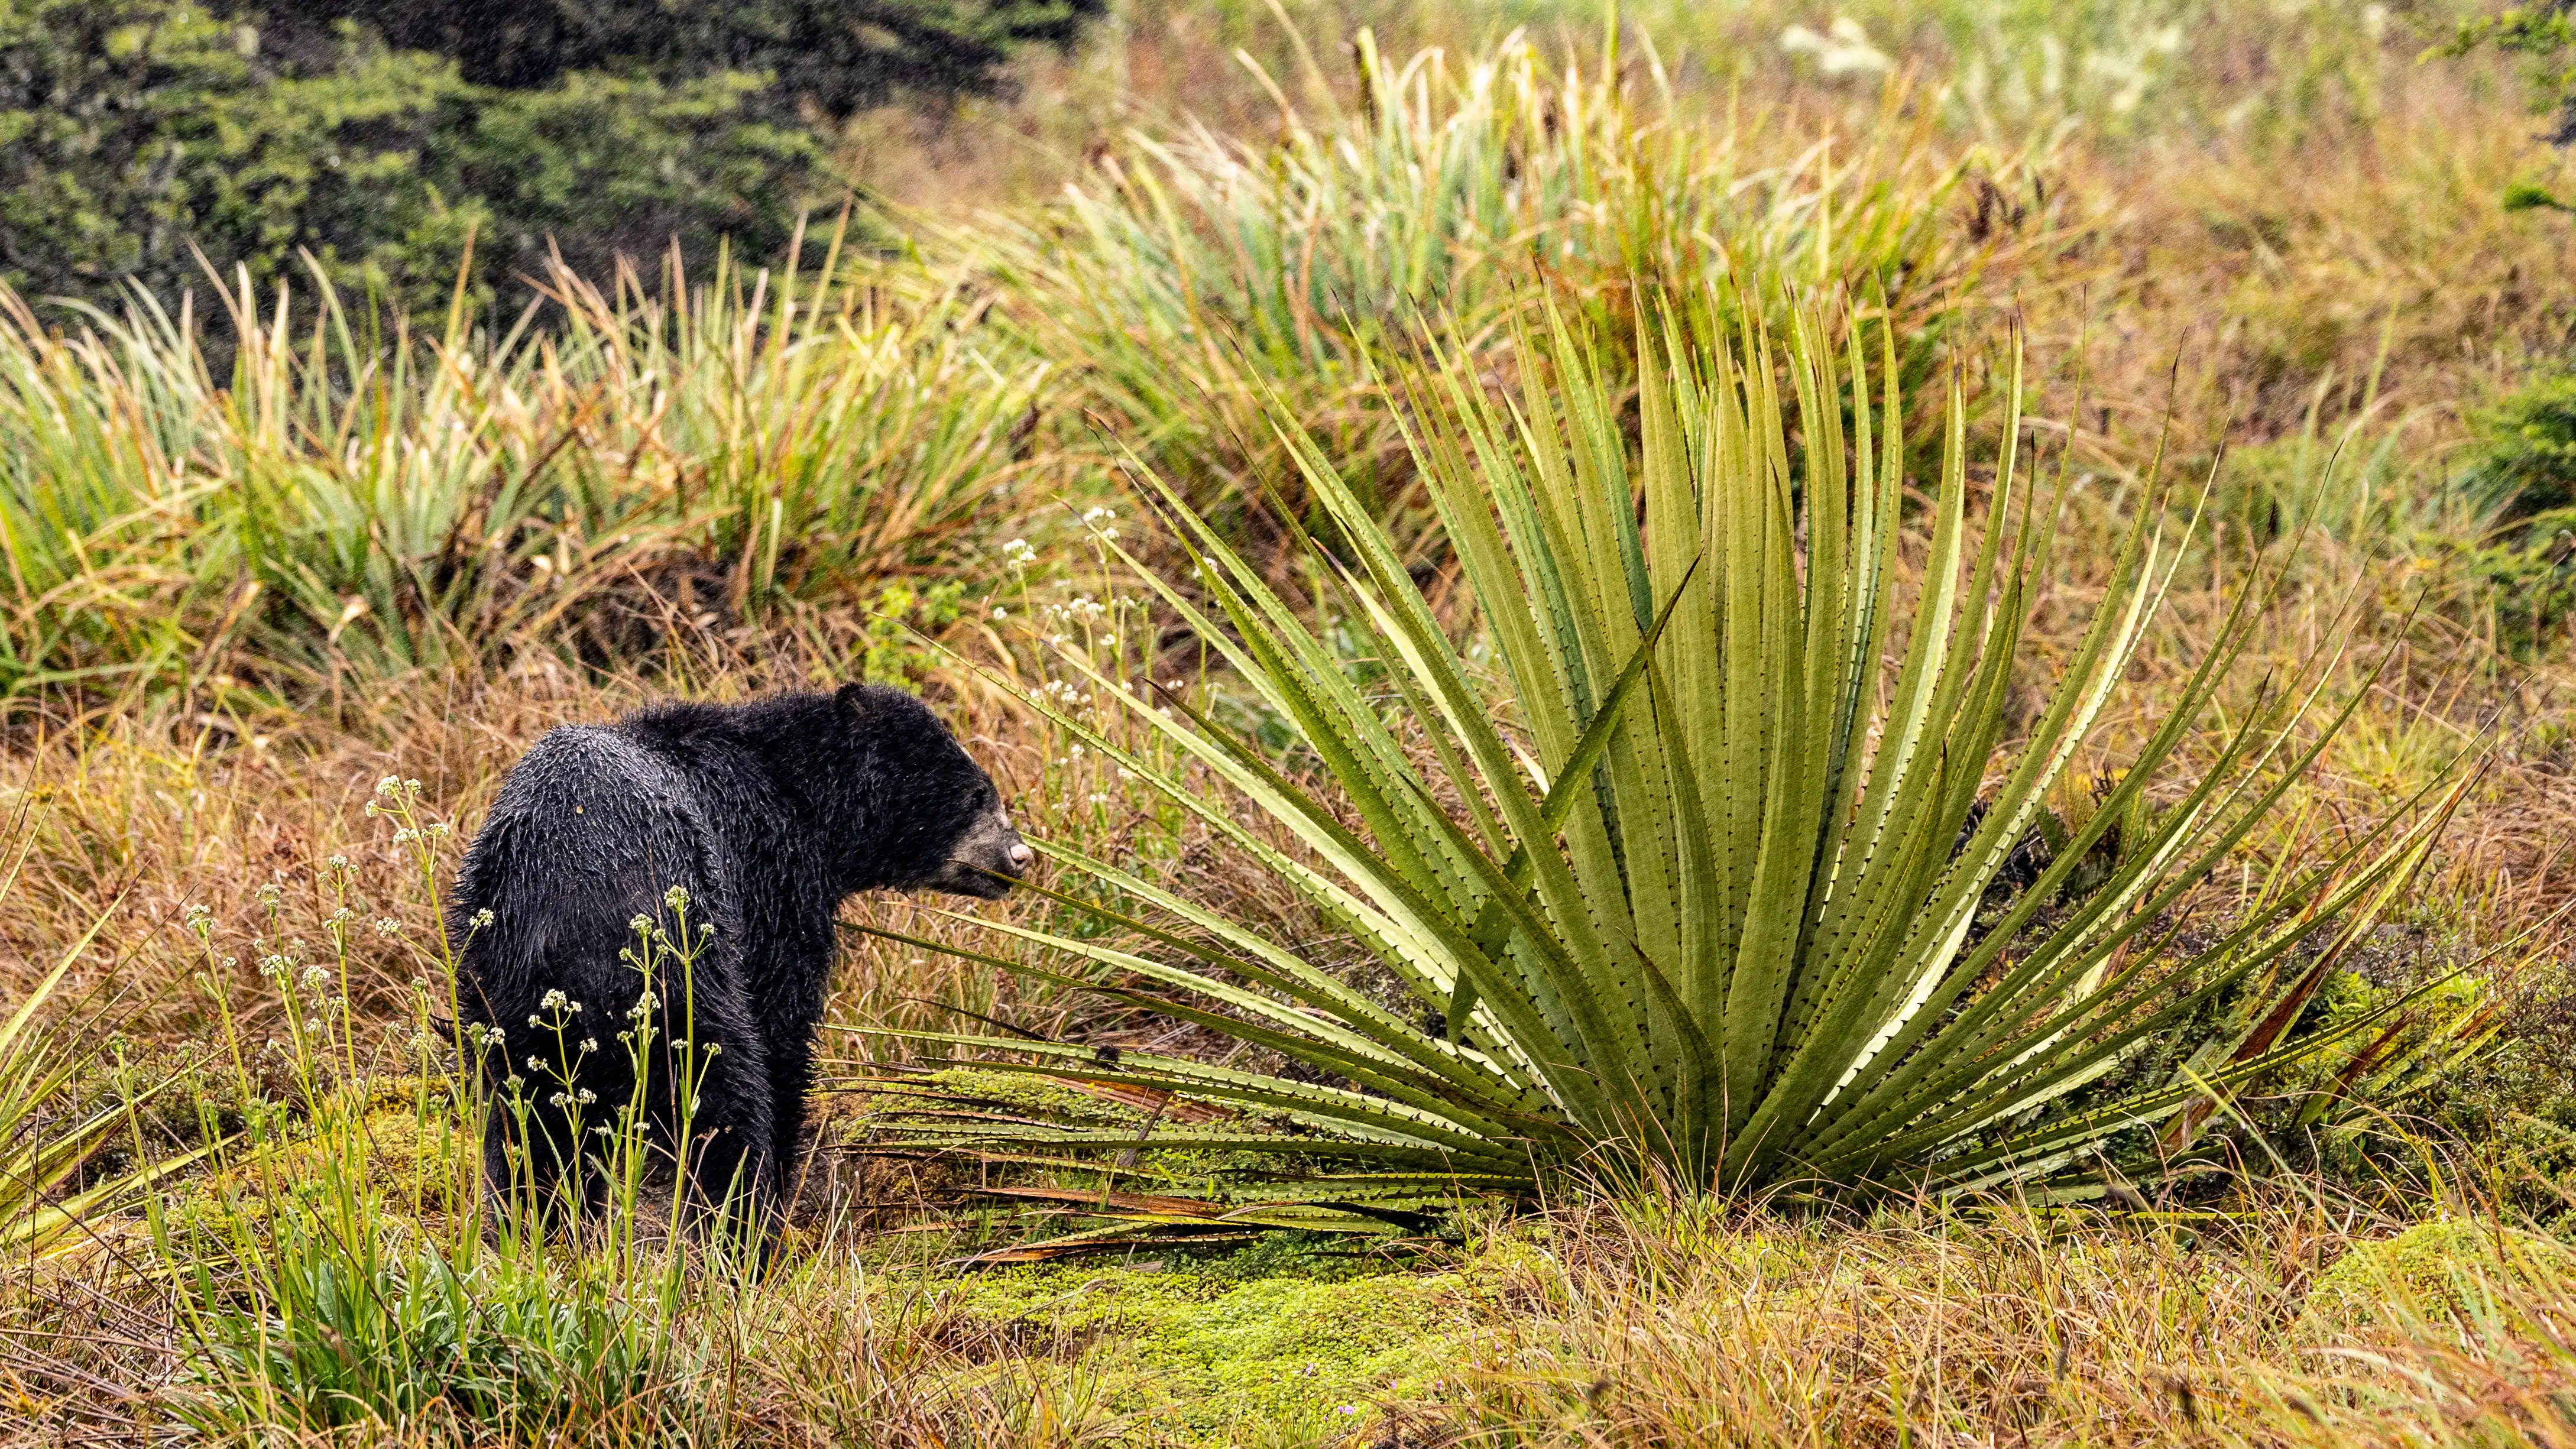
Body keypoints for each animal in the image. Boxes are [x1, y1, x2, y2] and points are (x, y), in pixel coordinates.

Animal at [448, 683, 1029, 1233]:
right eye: (978, 794)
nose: (1021, 857)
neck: (801, 798)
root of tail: (566, 913)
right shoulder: (772, 882)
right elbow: (782, 1026)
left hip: (502, 1002)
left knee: (526, 1131)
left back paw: (539, 1227)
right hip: (682, 979)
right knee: (723, 1105)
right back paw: (744, 1228)